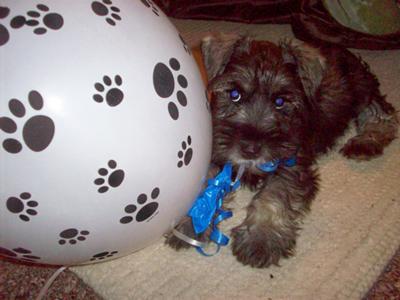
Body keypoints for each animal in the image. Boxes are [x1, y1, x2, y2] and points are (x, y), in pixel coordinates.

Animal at [166, 34, 396, 268]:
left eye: (280, 101)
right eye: (234, 94)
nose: (251, 149)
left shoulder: (292, 164)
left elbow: (273, 195)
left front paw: (261, 238)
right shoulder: (217, 152)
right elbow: (206, 185)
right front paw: (192, 222)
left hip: (362, 90)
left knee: (382, 114)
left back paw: (365, 143)